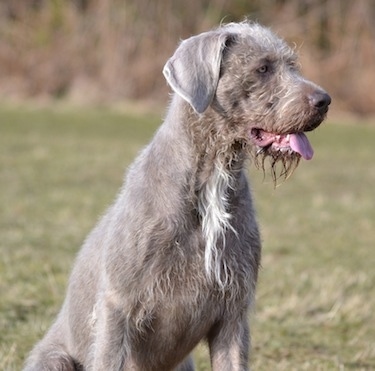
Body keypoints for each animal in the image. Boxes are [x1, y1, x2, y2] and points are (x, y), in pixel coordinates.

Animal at [24, 21, 332, 370]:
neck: (210, 180)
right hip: (54, 358)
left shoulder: (233, 313)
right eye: (263, 68)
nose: (325, 100)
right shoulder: (118, 306)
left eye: (293, 65)